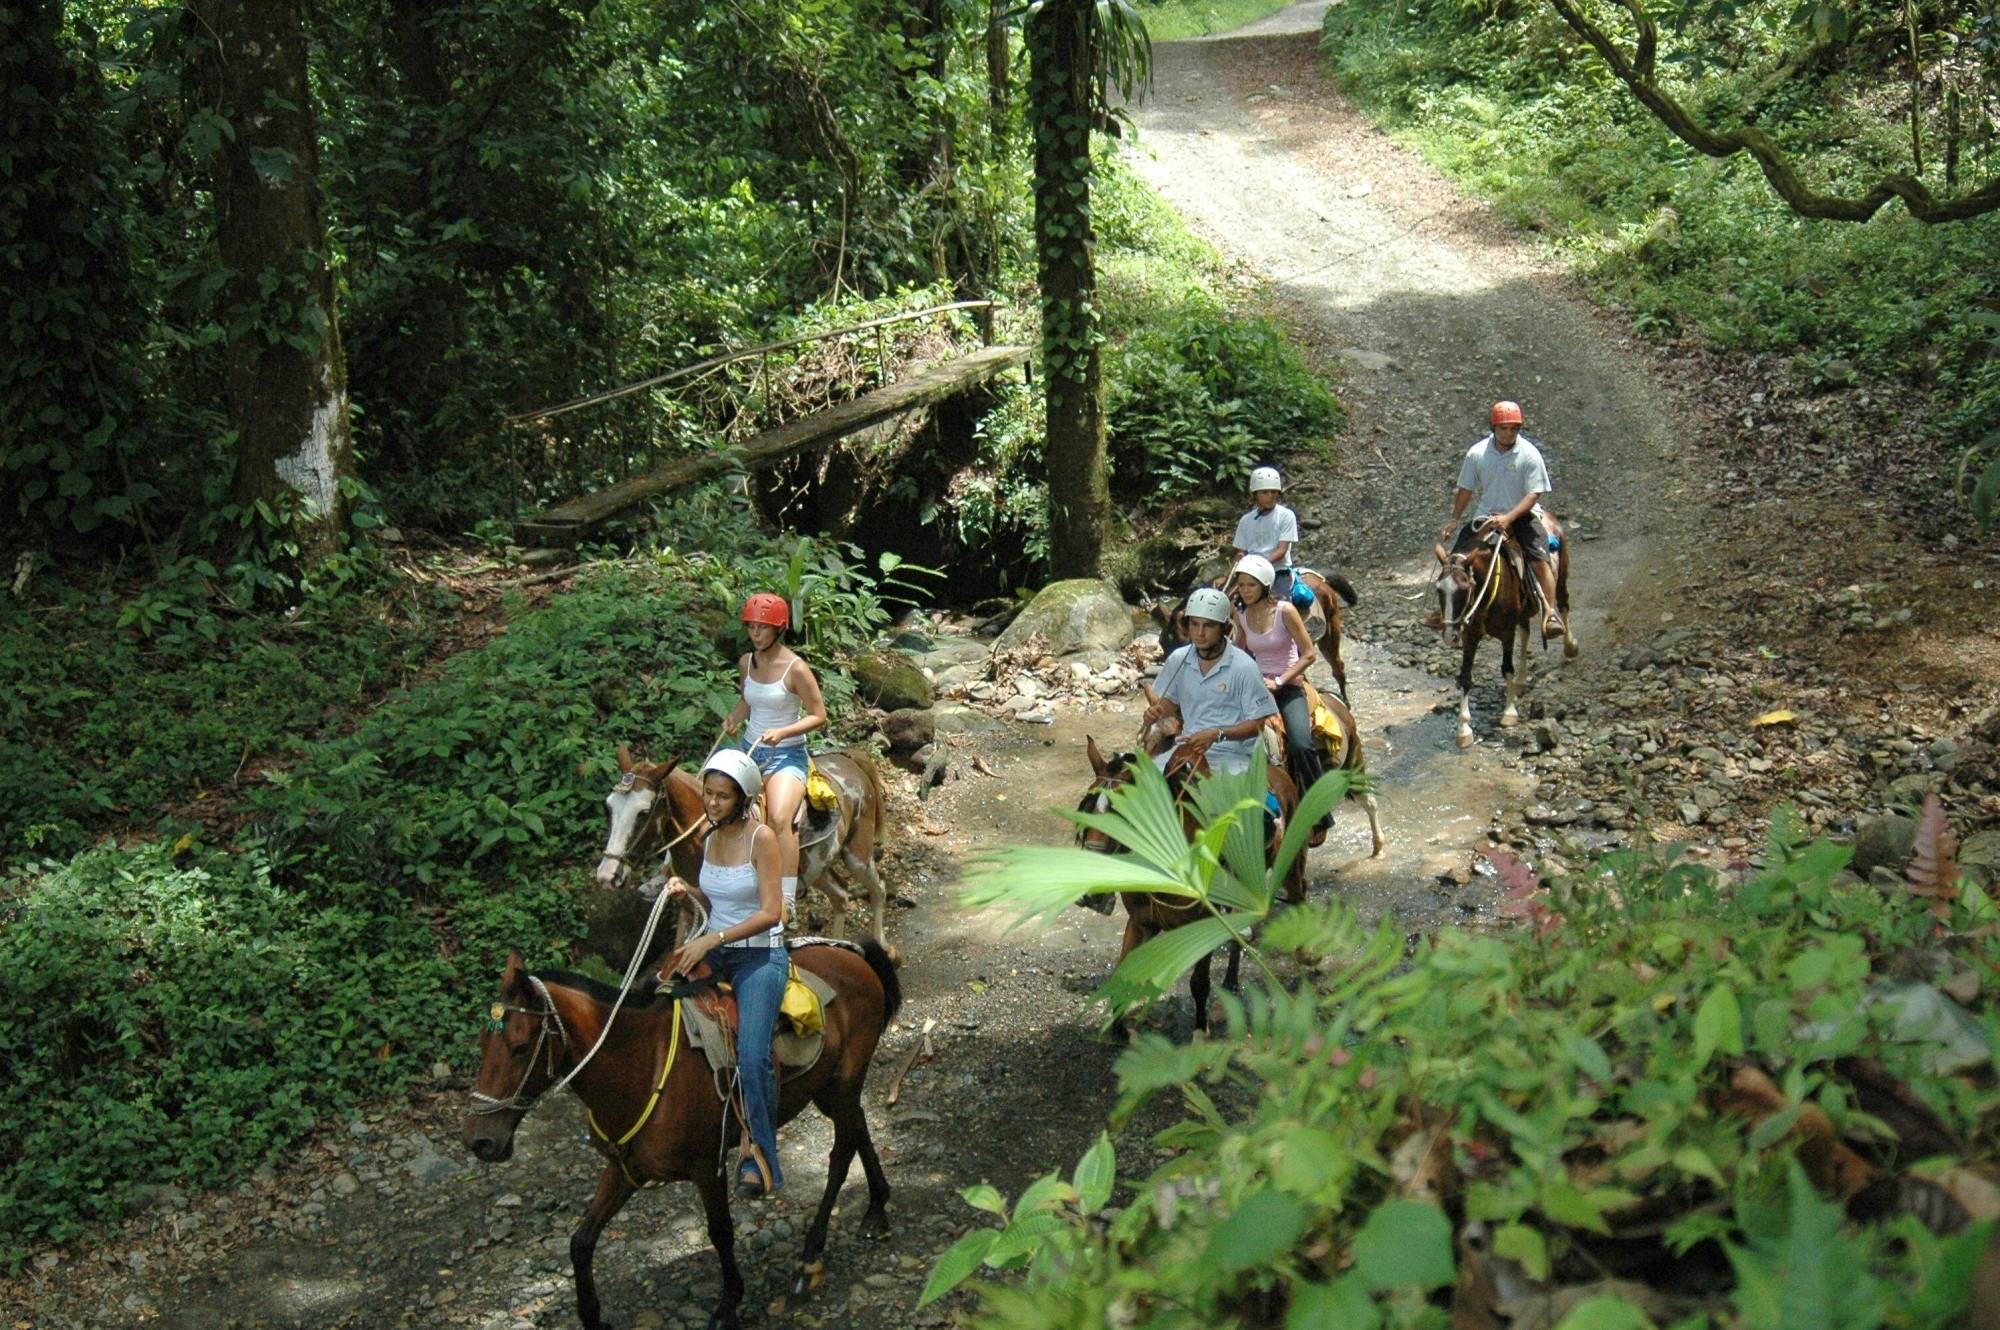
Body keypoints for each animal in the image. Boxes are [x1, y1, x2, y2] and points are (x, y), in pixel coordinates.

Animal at [460, 932, 900, 1328]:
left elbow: (720, 1231)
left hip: (842, 1085)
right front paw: (592, 1317)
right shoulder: (624, 1169)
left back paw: (810, 1257)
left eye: (520, 1047)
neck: (641, 1065)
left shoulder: (707, 1165)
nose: (480, 1141)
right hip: (830, 1091)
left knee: (840, 1156)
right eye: (481, 1043)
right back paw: (877, 1209)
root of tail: (853, 954)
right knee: (859, 1128)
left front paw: (728, 1304)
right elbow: (581, 1243)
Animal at [592, 740, 900, 960]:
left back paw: (887, 949)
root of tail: (850, 758)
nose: (607, 875)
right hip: (818, 867)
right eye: (607, 807)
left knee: (878, 888)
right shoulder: (691, 910)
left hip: (857, 853)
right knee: (841, 896)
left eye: (643, 812)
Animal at [1440, 520, 1576, 748]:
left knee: (1563, 605)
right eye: (1439, 590)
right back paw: (1521, 680)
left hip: (1561, 575)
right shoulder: (1470, 635)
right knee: (1526, 633)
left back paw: (1570, 646)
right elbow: (1466, 676)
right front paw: (1464, 730)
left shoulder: (1506, 631)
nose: (1450, 635)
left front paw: (1509, 712)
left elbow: (1506, 668)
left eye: (1464, 588)